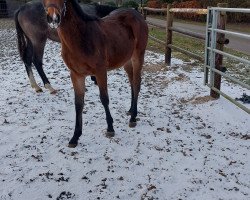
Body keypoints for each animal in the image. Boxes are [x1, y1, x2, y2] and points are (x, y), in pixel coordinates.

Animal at [43, 0, 148, 147]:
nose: (53, 18)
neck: (82, 37)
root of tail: (137, 13)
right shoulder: (76, 75)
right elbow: (78, 104)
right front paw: (75, 137)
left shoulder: (100, 72)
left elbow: (104, 99)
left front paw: (110, 128)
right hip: (126, 61)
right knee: (132, 83)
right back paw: (131, 111)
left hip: (138, 56)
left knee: (137, 83)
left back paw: (133, 118)